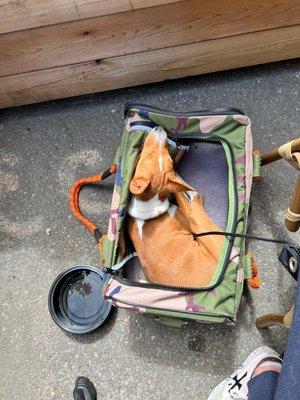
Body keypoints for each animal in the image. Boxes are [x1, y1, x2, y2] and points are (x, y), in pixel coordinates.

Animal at [127, 126, 225, 286]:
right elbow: (180, 191)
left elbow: (177, 185)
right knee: (193, 205)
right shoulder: (185, 218)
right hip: (204, 229)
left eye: (168, 157)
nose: (160, 128)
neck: (147, 212)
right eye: (148, 155)